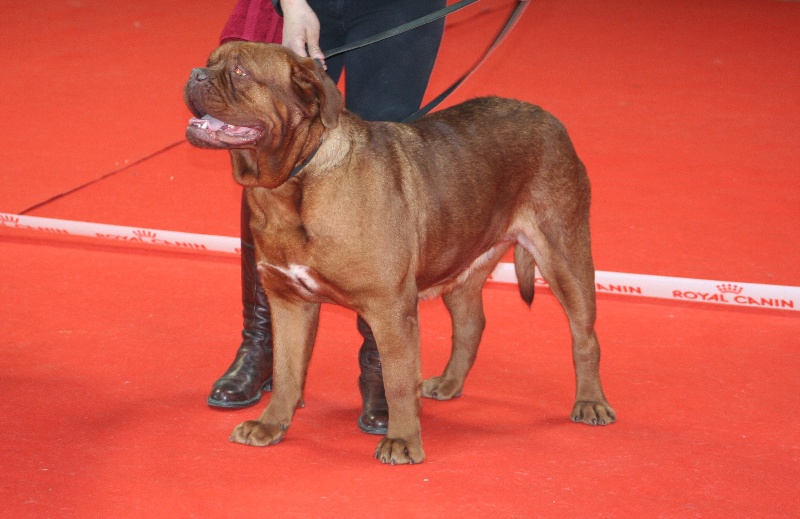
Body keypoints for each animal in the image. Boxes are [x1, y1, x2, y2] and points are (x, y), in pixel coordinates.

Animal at [184, 42, 616, 466]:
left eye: (240, 72)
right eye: (209, 62)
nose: (194, 74)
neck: (291, 185)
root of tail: (548, 117)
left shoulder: (389, 307)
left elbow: (397, 381)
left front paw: (402, 440)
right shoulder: (288, 301)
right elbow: (288, 371)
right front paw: (271, 424)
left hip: (565, 256)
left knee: (585, 337)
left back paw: (591, 402)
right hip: (461, 262)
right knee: (471, 324)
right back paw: (449, 382)